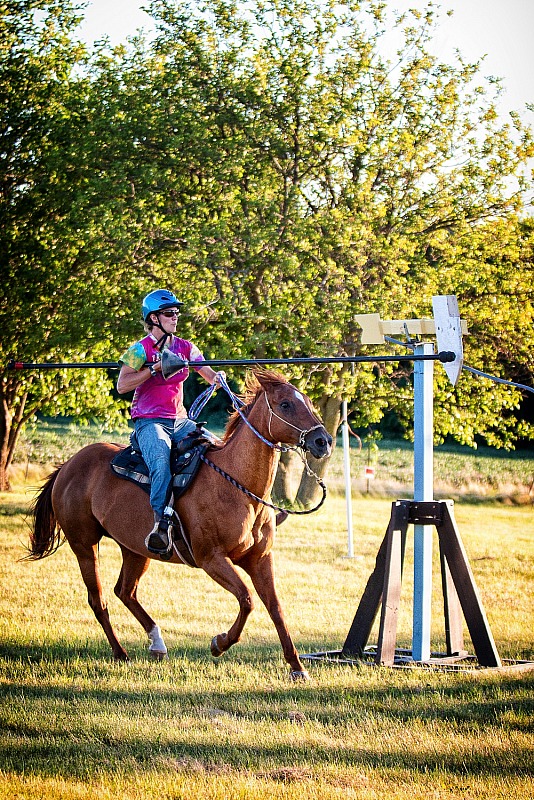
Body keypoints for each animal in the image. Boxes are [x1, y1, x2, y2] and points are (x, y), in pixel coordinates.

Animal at [28, 372, 336, 680]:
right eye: (285, 404)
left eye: (307, 401)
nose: (323, 441)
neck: (237, 486)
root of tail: (67, 466)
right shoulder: (211, 558)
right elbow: (247, 599)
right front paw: (219, 643)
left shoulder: (259, 558)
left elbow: (275, 608)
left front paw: (297, 668)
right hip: (84, 545)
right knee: (99, 600)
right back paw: (121, 653)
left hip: (135, 549)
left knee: (125, 591)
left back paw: (157, 643)